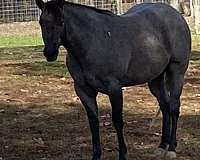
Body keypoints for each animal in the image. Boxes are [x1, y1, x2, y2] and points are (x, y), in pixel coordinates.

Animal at [35, 0, 191, 159]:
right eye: (41, 22)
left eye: (61, 21)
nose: (50, 53)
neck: (93, 41)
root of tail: (176, 15)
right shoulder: (83, 91)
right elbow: (93, 122)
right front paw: (96, 155)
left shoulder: (114, 89)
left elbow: (117, 121)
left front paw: (122, 154)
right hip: (155, 79)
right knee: (164, 106)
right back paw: (162, 146)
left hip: (176, 73)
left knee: (174, 107)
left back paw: (171, 149)